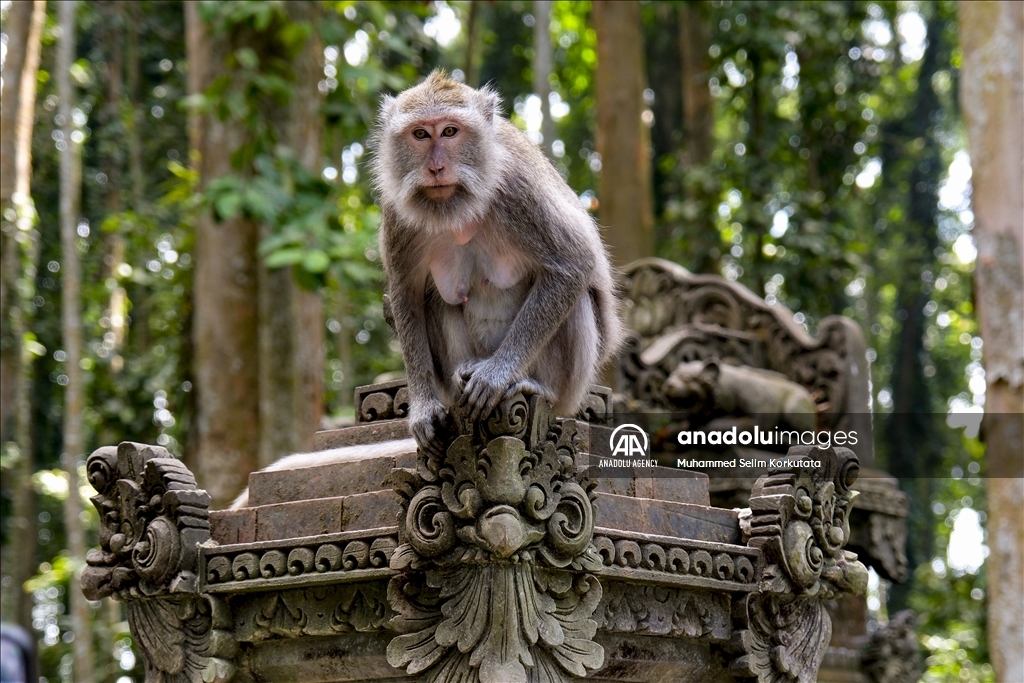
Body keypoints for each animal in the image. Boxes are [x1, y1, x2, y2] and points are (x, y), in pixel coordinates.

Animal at [370, 69, 622, 456]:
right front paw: (424, 407)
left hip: (573, 387)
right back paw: (464, 370)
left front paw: (496, 375)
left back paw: (535, 387)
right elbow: (405, 294)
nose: (436, 167)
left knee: (576, 298)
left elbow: (573, 264)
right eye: (420, 134)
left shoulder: (518, 189)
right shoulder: (397, 211)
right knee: (435, 299)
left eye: (450, 131)